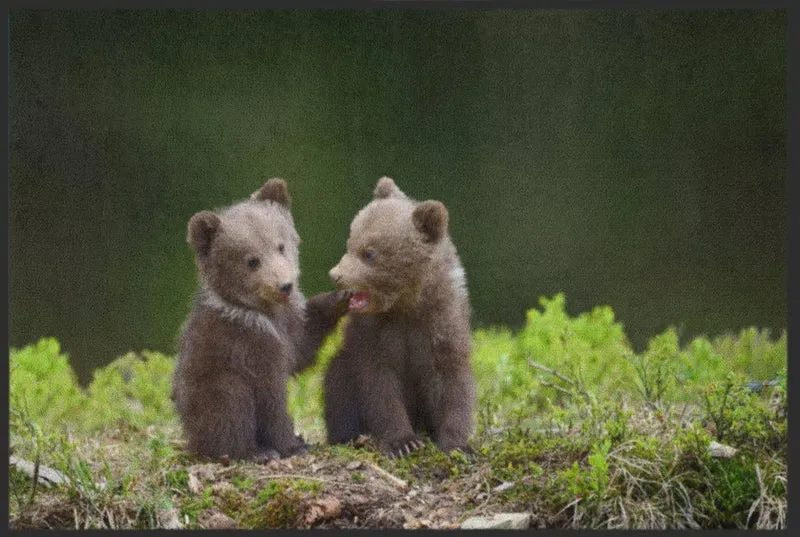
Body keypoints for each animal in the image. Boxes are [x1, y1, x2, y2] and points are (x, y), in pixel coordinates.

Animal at [172, 178, 350, 461]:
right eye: (252, 260)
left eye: (280, 245)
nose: (285, 285)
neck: (266, 313)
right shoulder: (250, 346)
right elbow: (271, 398)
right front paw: (292, 444)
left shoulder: (288, 327)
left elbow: (303, 347)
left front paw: (339, 297)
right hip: (212, 385)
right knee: (230, 405)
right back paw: (254, 451)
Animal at [323, 177, 475, 457]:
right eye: (350, 242)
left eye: (369, 253)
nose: (336, 274)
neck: (406, 307)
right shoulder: (373, 336)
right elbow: (380, 388)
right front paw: (402, 442)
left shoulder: (442, 327)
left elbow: (453, 384)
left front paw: (458, 445)